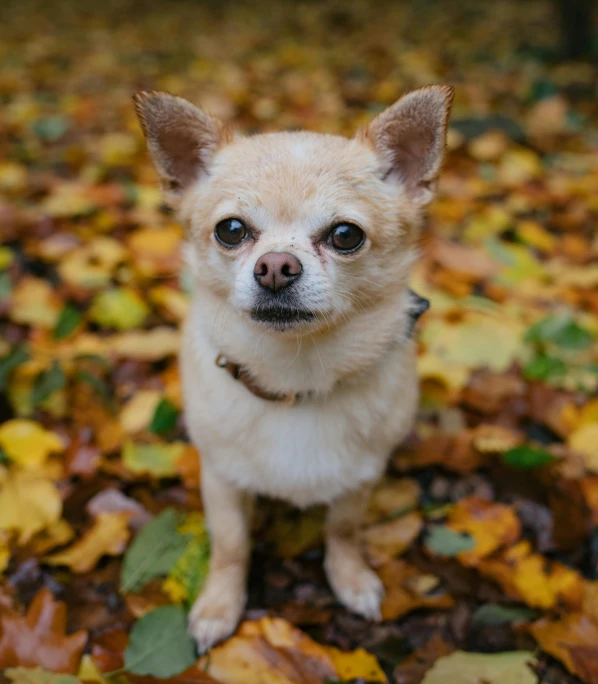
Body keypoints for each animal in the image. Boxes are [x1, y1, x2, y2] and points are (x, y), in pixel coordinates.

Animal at [135, 85, 454, 652]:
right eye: (231, 230)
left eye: (345, 235)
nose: (276, 267)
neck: (295, 379)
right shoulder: (220, 479)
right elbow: (231, 545)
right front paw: (219, 606)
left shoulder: (359, 479)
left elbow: (342, 532)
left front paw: (350, 579)